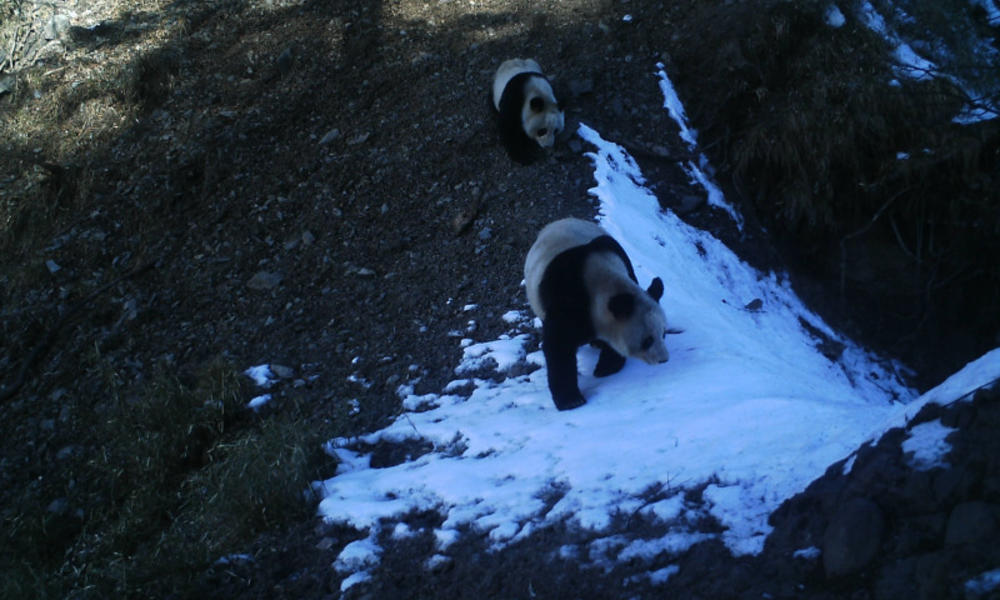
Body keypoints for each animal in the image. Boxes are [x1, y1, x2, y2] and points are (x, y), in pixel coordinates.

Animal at [524, 218, 672, 410]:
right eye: (647, 340)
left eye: (663, 334)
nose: (663, 359)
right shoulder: (565, 298)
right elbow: (558, 346)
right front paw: (572, 400)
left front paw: (605, 367)